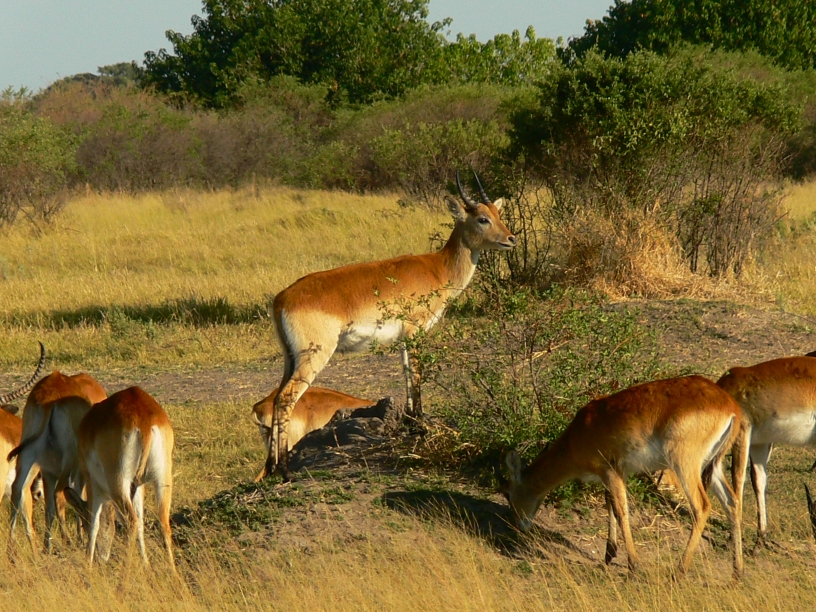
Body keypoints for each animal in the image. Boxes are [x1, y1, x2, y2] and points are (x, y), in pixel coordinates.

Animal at [7, 369, 107, 554]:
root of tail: (49, 398)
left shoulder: (48, 472)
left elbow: (49, 508)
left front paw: (48, 545)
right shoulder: (79, 471)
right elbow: (77, 497)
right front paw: (81, 538)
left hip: (30, 457)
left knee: (18, 489)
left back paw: (14, 548)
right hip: (67, 461)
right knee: (58, 494)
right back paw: (68, 541)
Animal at [64, 386, 175, 571]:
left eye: (84, 523)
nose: (103, 557)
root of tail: (144, 419)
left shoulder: (94, 484)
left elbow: (95, 523)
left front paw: (88, 563)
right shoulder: (138, 486)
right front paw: (146, 564)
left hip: (118, 482)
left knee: (131, 521)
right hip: (162, 479)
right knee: (162, 523)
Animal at [267, 171, 516, 476]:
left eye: (497, 213)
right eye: (482, 218)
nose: (511, 238)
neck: (437, 268)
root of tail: (282, 298)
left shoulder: (403, 338)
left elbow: (407, 372)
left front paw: (411, 420)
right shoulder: (416, 331)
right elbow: (417, 375)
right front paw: (420, 424)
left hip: (290, 360)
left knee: (276, 397)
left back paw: (272, 468)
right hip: (313, 357)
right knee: (287, 398)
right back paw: (284, 469)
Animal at [498, 376, 745, 578]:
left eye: (508, 493)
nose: (518, 526)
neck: (579, 435)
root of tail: (731, 408)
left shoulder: (611, 471)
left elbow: (621, 510)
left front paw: (633, 565)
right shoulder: (615, 475)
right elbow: (610, 504)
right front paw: (609, 554)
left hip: (685, 464)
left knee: (702, 506)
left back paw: (679, 571)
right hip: (714, 465)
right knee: (732, 502)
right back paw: (737, 573)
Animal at [716, 356, 816, 548]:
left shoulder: (742, 432)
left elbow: (738, 479)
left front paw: (731, 539)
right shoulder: (760, 444)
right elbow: (759, 481)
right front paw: (760, 539)